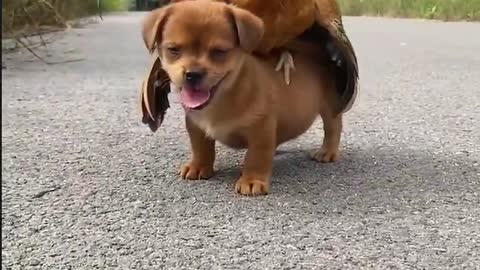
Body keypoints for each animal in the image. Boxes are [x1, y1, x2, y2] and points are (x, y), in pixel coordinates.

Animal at [142, 0, 344, 195]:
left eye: (219, 52)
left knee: (333, 128)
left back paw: (327, 151)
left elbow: (256, 158)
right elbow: (201, 148)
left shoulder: (261, 130)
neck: (222, 100)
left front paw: (252, 181)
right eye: (173, 49)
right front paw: (198, 166)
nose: (193, 74)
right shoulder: (195, 126)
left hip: (330, 107)